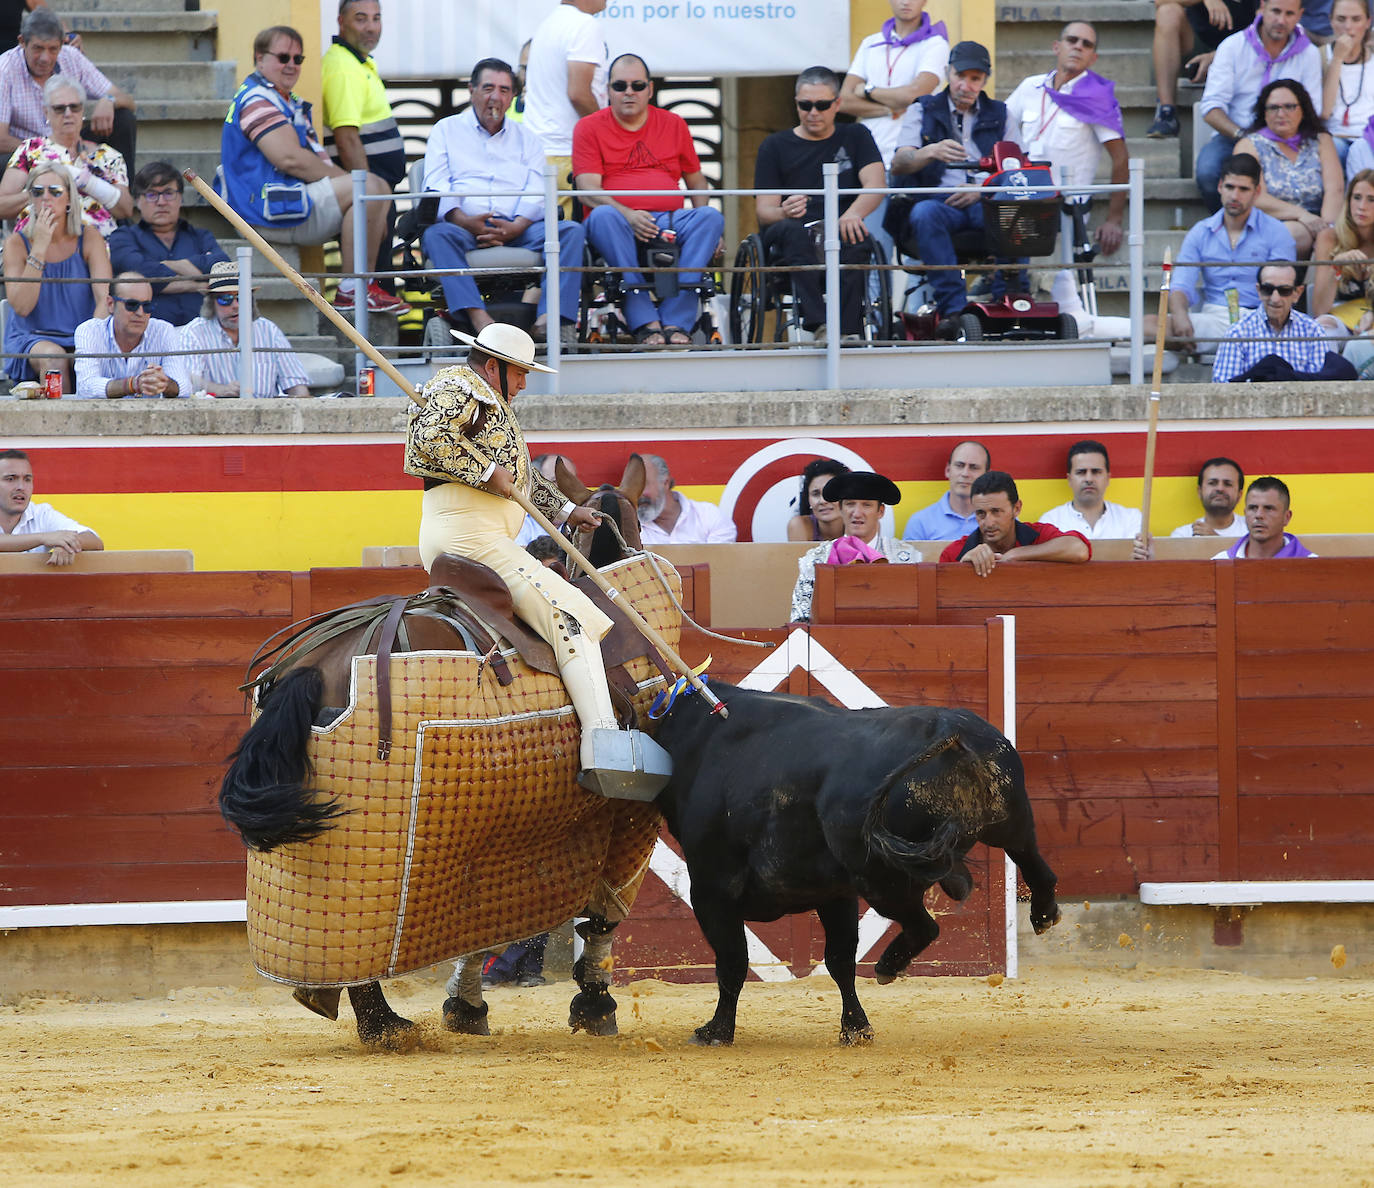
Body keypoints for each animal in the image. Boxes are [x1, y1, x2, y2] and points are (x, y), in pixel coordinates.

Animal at [219, 464, 665, 1038]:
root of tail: (313, 666)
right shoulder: (631, 810)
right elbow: (605, 911)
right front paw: (595, 1004)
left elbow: (483, 925)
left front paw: (465, 1004)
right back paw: (385, 1027)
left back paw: (339, 1004)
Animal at [654, 681, 1060, 1043]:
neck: (699, 736)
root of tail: (949, 734)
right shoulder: (834, 894)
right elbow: (839, 960)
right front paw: (856, 1028)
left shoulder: (711, 889)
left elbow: (733, 962)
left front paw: (715, 1032)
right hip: (1008, 817)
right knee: (1032, 860)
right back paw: (1043, 914)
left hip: (881, 878)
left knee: (925, 925)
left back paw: (888, 966)